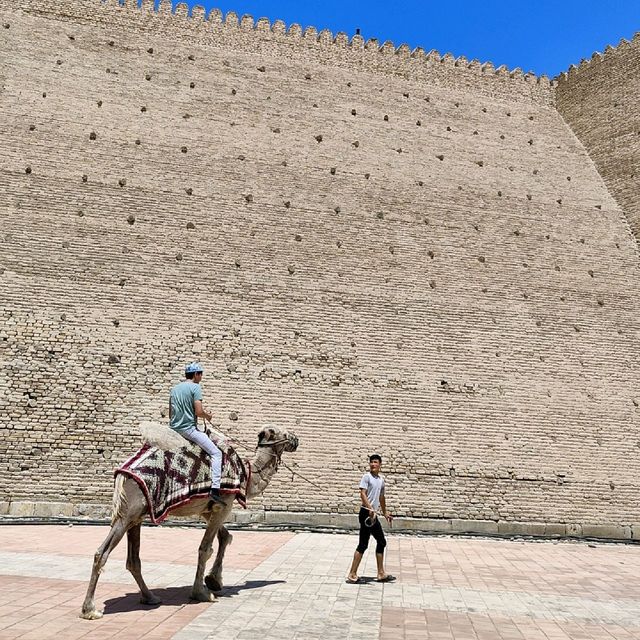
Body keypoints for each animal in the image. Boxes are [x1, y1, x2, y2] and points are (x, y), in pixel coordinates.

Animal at [80, 424, 298, 620]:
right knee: (102, 553)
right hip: (127, 515)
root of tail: (122, 475)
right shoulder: (224, 503)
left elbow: (225, 536)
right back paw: (90, 610)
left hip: (136, 517)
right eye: (282, 432)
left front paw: (214, 580)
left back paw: (150, 597)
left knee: (133, 560)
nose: (296, 439)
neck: (246, 475)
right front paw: (201, 592)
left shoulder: (208, 509)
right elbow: (206, 548)